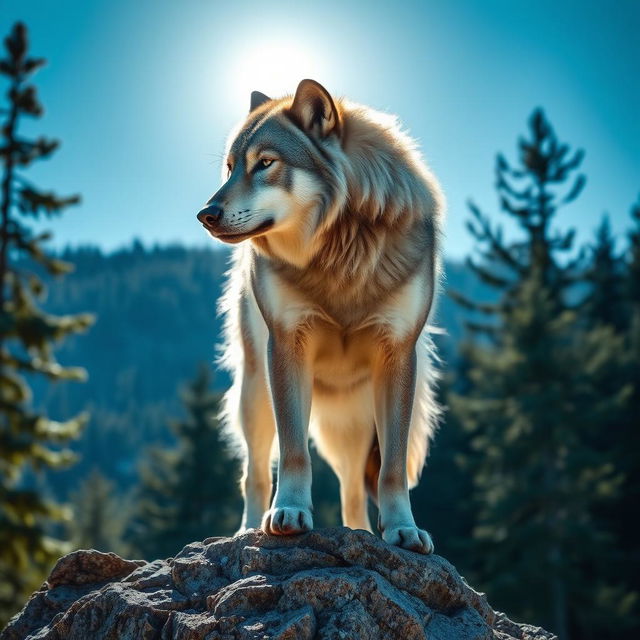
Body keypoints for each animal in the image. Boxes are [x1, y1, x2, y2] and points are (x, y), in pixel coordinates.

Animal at [199, 79, 444, 552]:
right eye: (230, 168)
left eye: (266, 163)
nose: (206, 214)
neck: (339, 255)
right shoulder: (286, 345)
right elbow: (294, 451)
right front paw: (290, 513)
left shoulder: (399, 354)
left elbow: (392, 469)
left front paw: (404, 529)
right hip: (255, 394)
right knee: (254, 473)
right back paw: (246, 530)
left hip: (353, 426)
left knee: (352, 493)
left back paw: (361, 534)